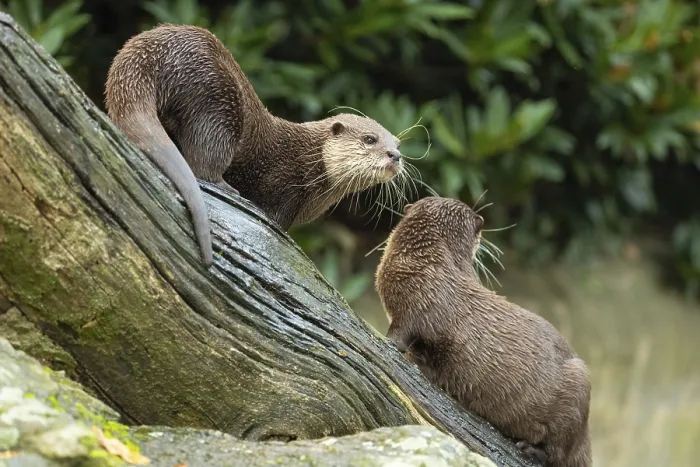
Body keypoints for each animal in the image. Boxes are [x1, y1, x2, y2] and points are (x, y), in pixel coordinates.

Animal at [105, 24, 403, 267]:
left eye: (398, 143)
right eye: (370, 139)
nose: (396, 155)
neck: (308, 161)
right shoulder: (283, 184)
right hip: (217, 102)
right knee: (202, 164)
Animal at [375, 197, 591, 467]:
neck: (425, 262)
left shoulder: (421, 300)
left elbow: (403, 332)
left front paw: (390, 343)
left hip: (578, 389)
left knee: (560, 452)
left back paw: (530, 449)